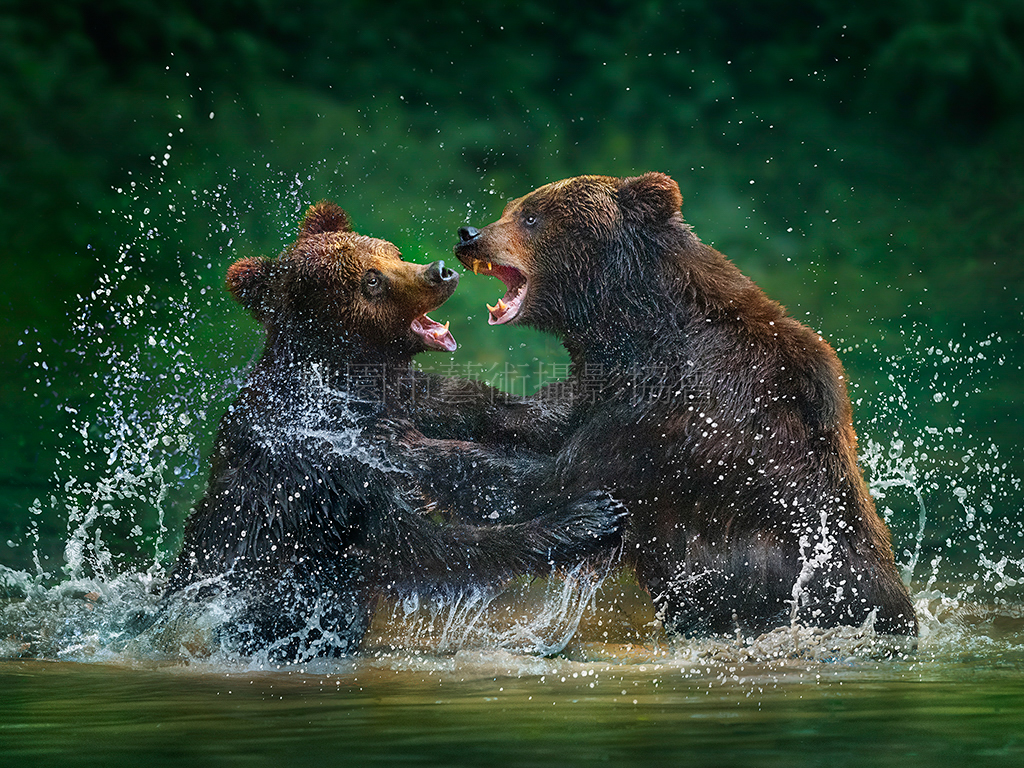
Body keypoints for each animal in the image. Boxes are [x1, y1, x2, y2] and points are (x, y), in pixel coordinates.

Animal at [164, 201, 623, 661]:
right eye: (370, 279)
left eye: (392, 252)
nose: (440, 271)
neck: (356, 384)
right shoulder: (328, 465)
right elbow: (426, 544)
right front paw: (585, 518)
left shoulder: (416, 401)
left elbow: (483, 427)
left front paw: (578, 398)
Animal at [443, 173, 917, 639]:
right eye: (511, 208)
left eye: (531, 215)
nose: (468, 235)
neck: (635, 327)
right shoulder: (605, 385)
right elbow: (536, 419)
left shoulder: (679, 417)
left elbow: (558, 477)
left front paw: (435, 454)